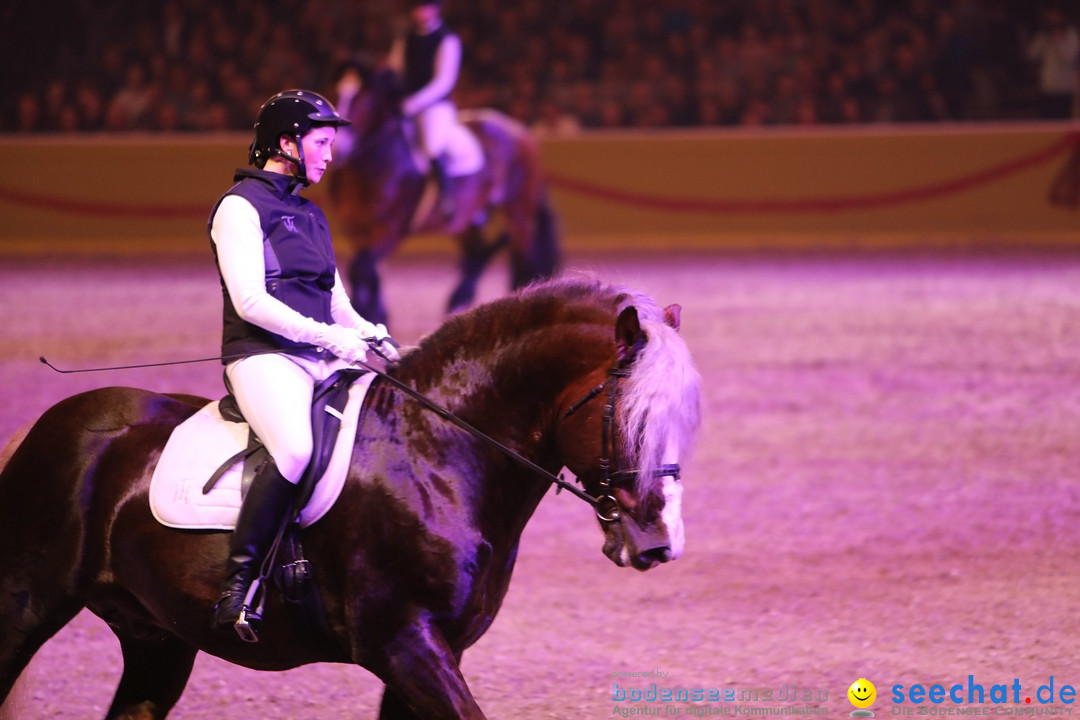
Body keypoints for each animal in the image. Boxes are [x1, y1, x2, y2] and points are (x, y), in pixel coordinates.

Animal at [0, 278, 699, 716]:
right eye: (631, 415)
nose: (657, 542)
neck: (438, 453)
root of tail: (46, 424)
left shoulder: (428, 654)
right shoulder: (404, 645)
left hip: (156, 639)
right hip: (28, 607)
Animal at [328, 66, 565, 325]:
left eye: (368, 100)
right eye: (336, 91)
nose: (336, 149)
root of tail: (521, 132)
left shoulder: (391, 228)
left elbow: (361, 268)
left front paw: (368, 314)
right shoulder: (356, 227)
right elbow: (370, 272)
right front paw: (376, 314)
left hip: (518, 209)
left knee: (522, 255)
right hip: (467, 217)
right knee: (476, 254)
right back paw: (459, 303)